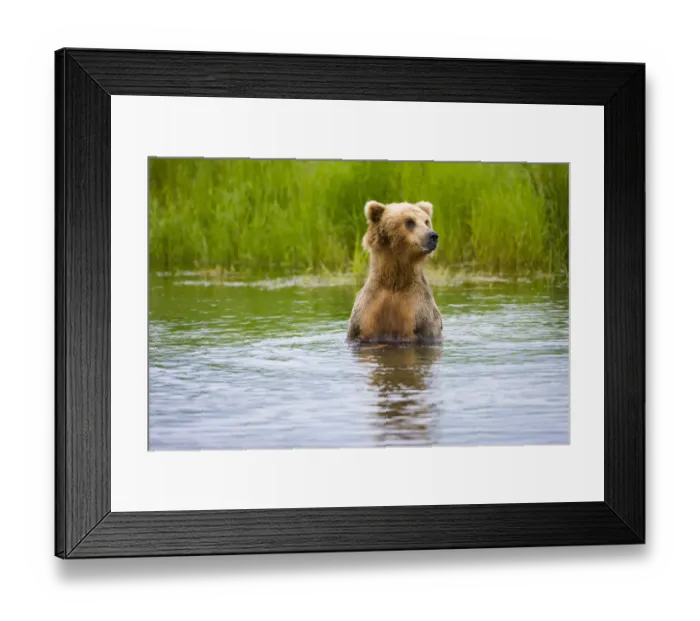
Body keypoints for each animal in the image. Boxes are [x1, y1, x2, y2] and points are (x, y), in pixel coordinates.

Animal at [347, 200, 443, 344]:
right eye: (409, 222)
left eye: (426, 221)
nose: (433, 235)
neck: (395, 279)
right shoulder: (367, 311)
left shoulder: (419, 311)